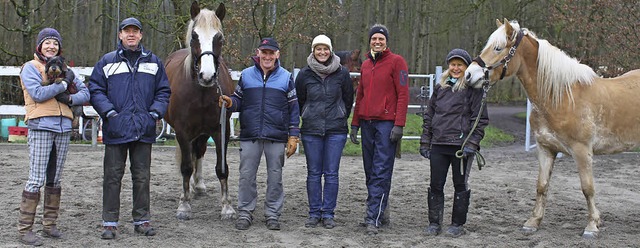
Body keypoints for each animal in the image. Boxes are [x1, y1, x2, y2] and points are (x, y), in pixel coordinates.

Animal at [164, 0, 236, 220]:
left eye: (219, 37)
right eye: (194, 36)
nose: (207, 75)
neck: (201, 92)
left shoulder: (221, 130)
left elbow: (222, 168)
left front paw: (227, 207)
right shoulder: (182, 131)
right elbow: (186, 167)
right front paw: (184, 205)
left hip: (203, 133)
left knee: (200, 151)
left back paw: (199, 185)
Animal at [462, 17, 640, 238]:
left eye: (498, 48)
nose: (469, 75)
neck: (561, 96)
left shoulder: (582, 151)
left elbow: (587, 188)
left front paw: (592, 226)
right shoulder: (546, 149)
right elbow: (541, 186)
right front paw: (533, 222)